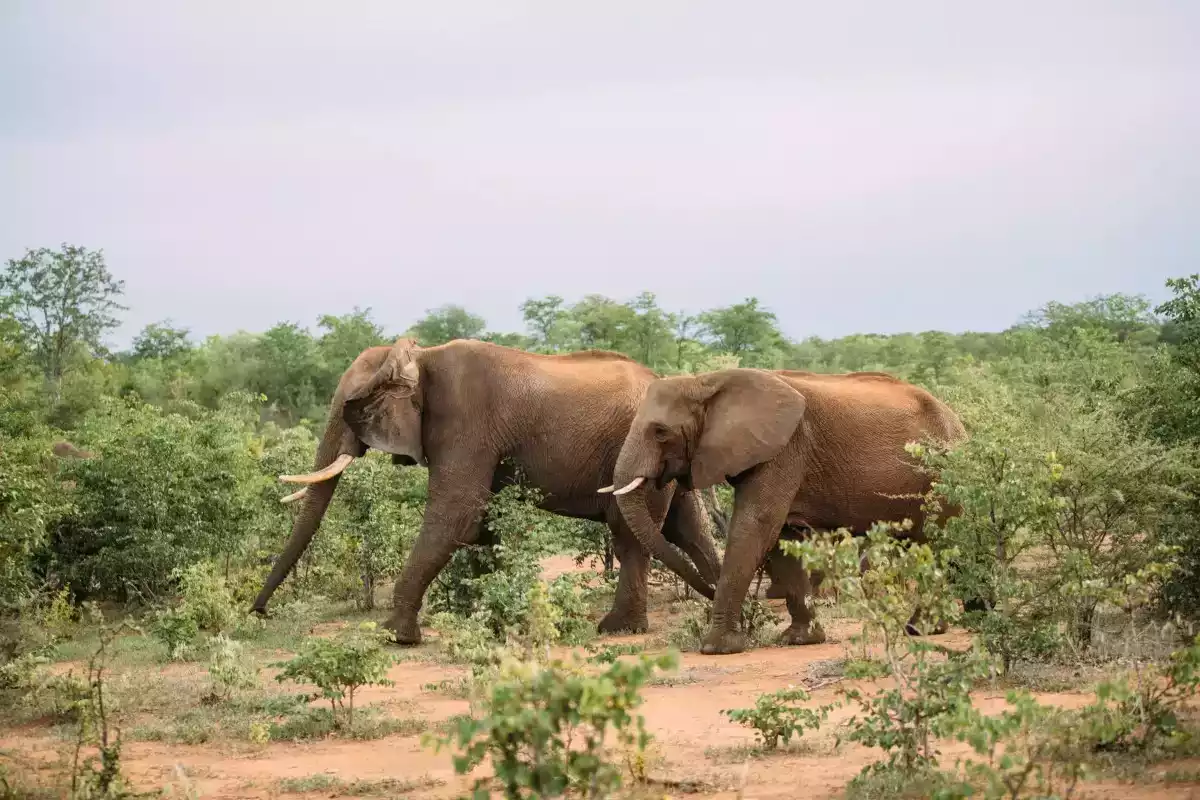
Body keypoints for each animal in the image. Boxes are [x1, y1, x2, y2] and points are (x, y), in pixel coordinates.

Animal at [250, 337, 721, 643]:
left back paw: (619, 629)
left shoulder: (465, 421)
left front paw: (394, 637)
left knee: (631, 534)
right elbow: (482, 522)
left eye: (354, 409)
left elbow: (457, 514)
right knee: (685, 527)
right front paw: (487, 618)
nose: (258, 613)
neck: (421, 357)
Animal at [602, 367, 967, 655]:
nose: (754, 609)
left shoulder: (785, 450)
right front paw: (800, 639)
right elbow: (781, 538)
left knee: (939, 542)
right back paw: (927, 628)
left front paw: (717, 648)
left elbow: (757, 525)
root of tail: (958, 423)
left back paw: (922, 628)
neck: (706, 383)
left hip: (942, 474)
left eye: (660, 432)